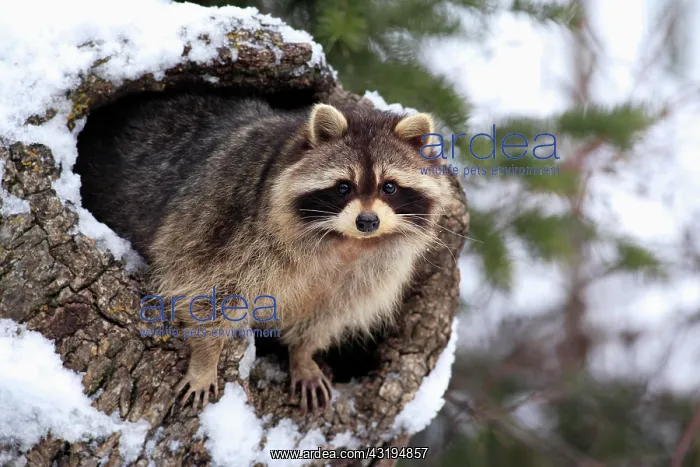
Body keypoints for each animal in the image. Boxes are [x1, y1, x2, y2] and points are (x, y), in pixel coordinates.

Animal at [75, 91, 453, 415]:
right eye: (344, 187)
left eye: (389, 187)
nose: (368, 221)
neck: (344, 241)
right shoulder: (226, 220)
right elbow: (202, 286)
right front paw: (206, 358)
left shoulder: (370, 271)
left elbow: (330, 312)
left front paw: (303, 354)